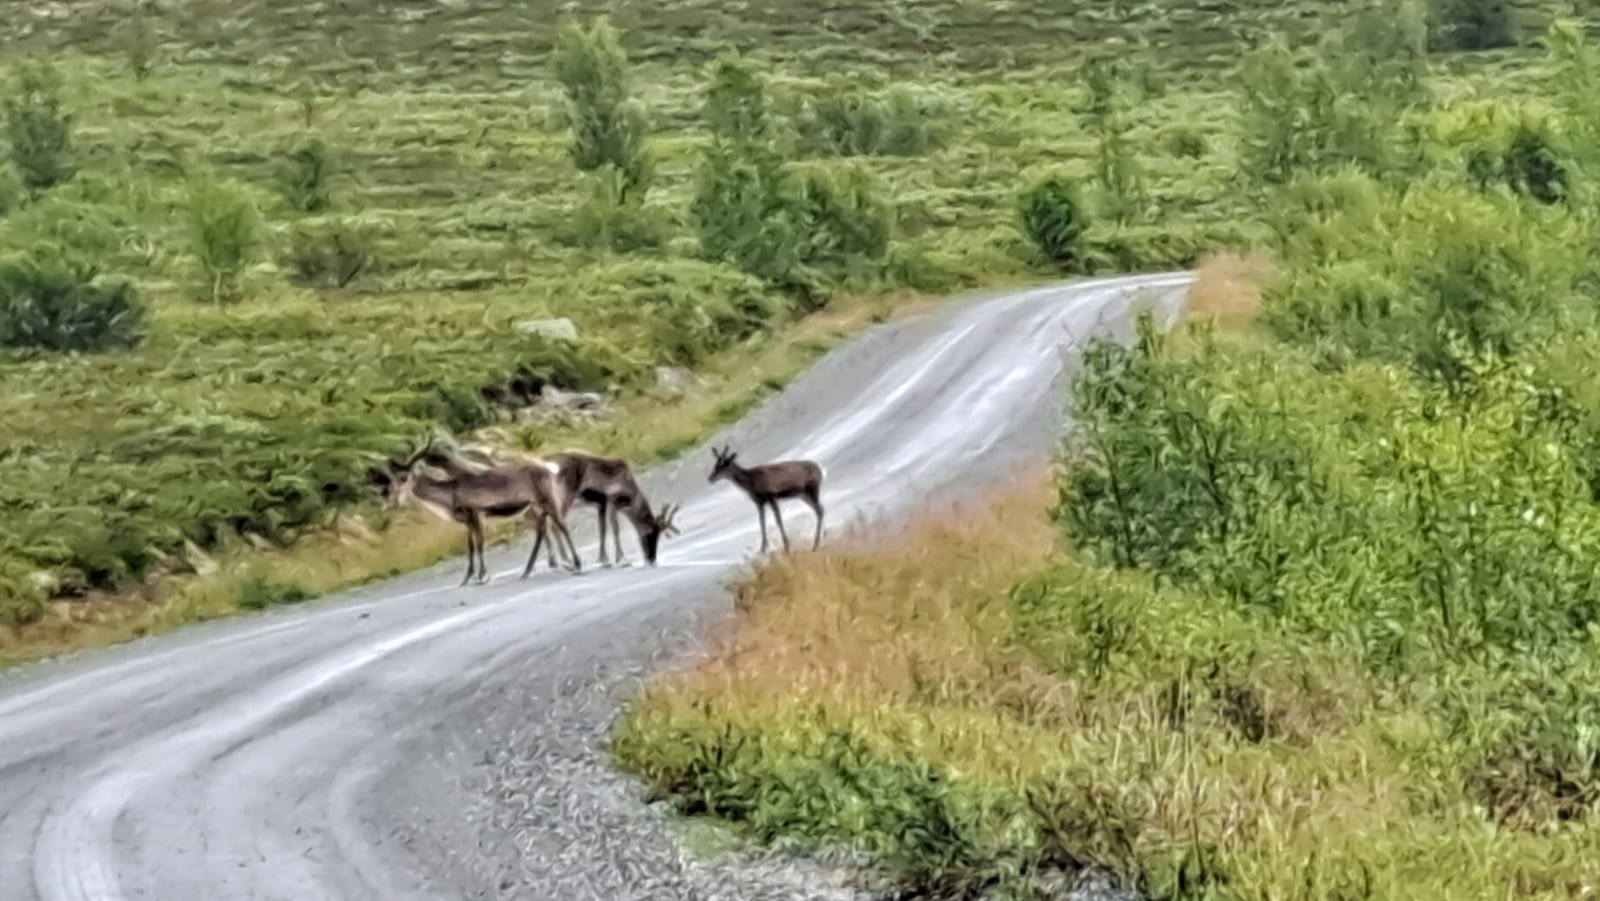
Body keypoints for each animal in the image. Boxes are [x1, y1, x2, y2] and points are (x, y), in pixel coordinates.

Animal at [383, 438, 583, 586]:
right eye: (391, 479)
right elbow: (470, 546)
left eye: (404, 478)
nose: (392, 501)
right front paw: (466, 579)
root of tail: (549, 468)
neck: (450, 494)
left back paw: (575, 564)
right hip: (534, 505)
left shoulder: (477, 513)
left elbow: (479, 544)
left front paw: (482, 576)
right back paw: (529, 570)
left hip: (546, 498)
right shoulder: (467, 520)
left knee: (560, 524)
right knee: (545, 527)